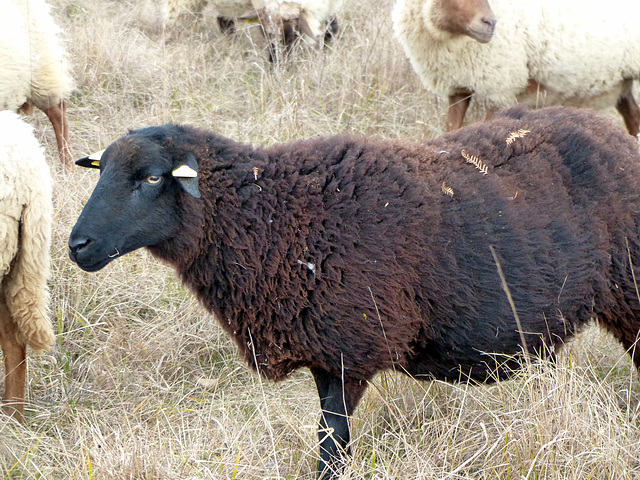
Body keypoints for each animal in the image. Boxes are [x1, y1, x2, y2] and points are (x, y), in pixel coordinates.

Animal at [392, 0, 640, 134]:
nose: (490, 23)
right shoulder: (458, 87)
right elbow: (453, 129)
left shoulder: (500, 87)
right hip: (623, 81)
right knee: (633, 118)